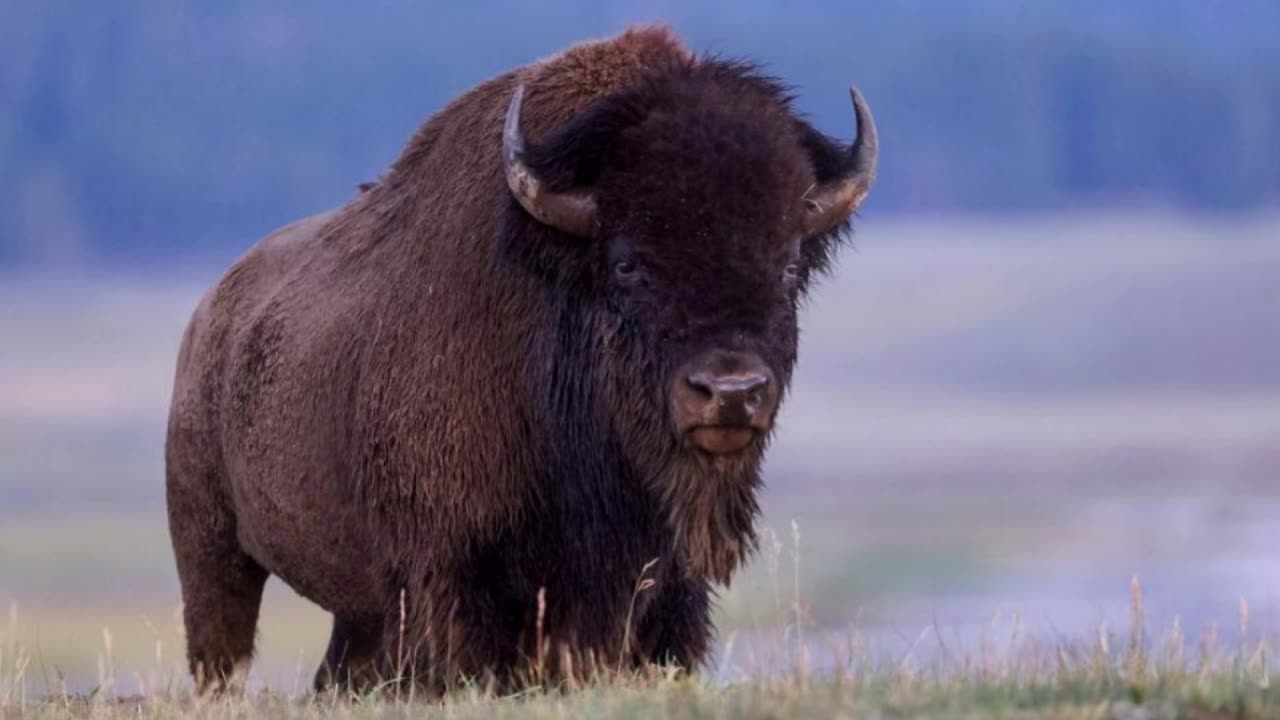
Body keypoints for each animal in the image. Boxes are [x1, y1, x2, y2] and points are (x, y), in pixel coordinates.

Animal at [165, 26, 877, 695]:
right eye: (627, 264)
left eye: (789, 265)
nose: (729, 392)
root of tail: (208, 315)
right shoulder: (451, 578)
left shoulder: (666, 590)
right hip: (211, 550)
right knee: (221, 644)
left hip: (353, 612)